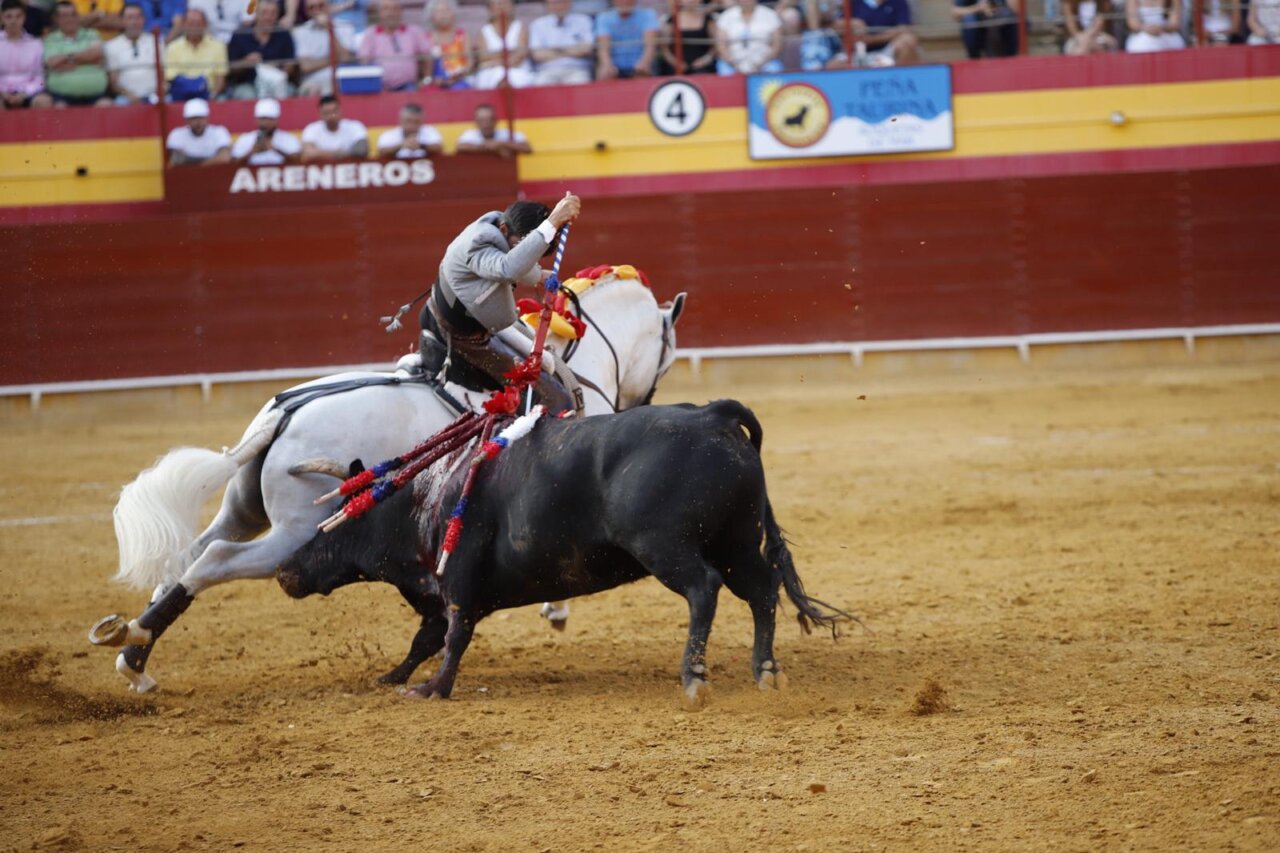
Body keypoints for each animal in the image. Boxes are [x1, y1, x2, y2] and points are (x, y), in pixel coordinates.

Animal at [90, 271, 686, 693]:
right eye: (667, 354)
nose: (646, 398)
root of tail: (283, 414)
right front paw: (555, 610)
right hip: (295, 533)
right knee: (212, 561)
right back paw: (136, 643)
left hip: (243, 510)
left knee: (190, 554)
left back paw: (134, 657)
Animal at [276, 400, 851, 702]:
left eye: (331, 525)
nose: (285, 571)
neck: (425, 495)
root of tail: (713, 416)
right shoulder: (438, 592)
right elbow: (425, 639)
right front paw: (394, 677)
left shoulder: (457, 580)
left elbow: (454, 635)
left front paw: (433, 688)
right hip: (737, 541)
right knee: (763, 591)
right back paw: (766, 671)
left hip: (667, 548)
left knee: (703, 589)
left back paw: (694, 676)